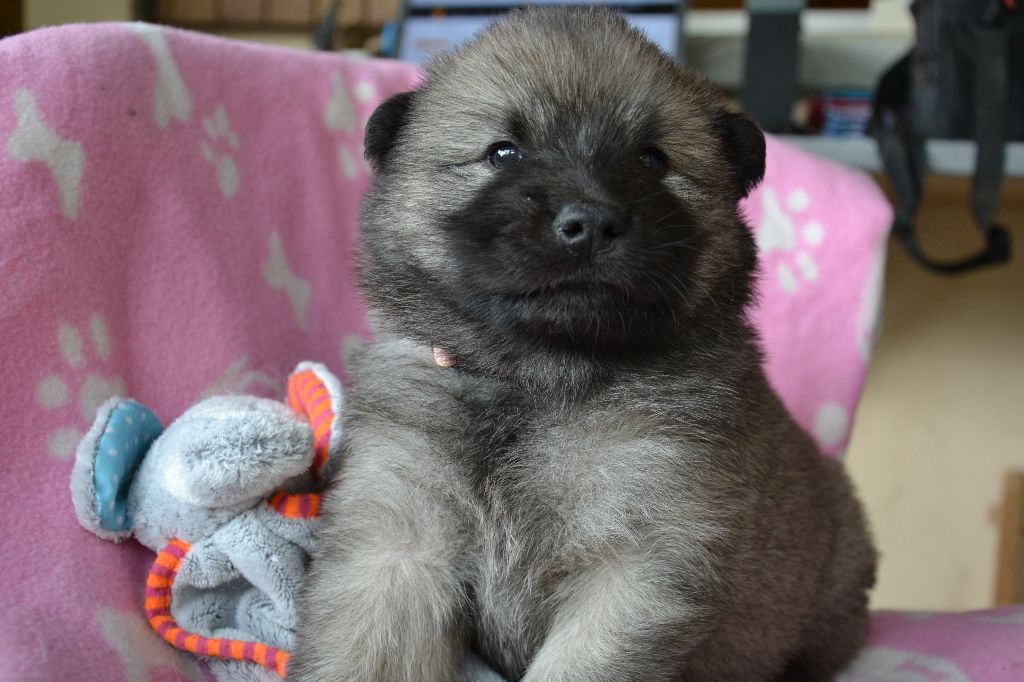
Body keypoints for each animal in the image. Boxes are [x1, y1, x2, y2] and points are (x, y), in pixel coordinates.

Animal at [289, 7, 876, 681]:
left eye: (652, 160)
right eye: (502, 152)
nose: (590, 223)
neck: (538, 380)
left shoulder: (636, 566)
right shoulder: (394, 544)